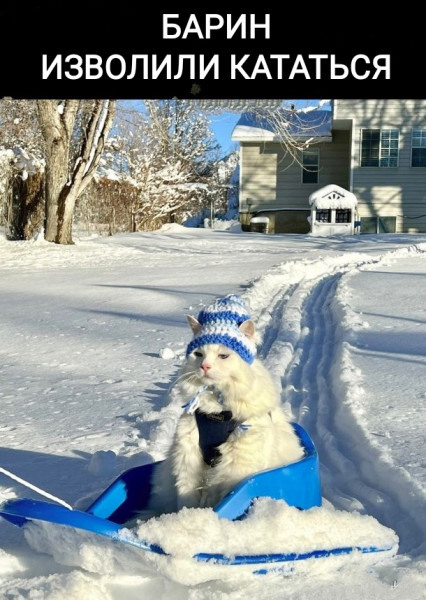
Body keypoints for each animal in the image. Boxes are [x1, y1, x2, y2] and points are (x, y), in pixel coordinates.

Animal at [146, 296, 302, 516]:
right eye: (198, 354)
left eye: (223, 356)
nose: (205, 366)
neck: (216, 410)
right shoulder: (187, 459)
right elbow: (186, 501)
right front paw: (186, 516)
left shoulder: (235, 467)